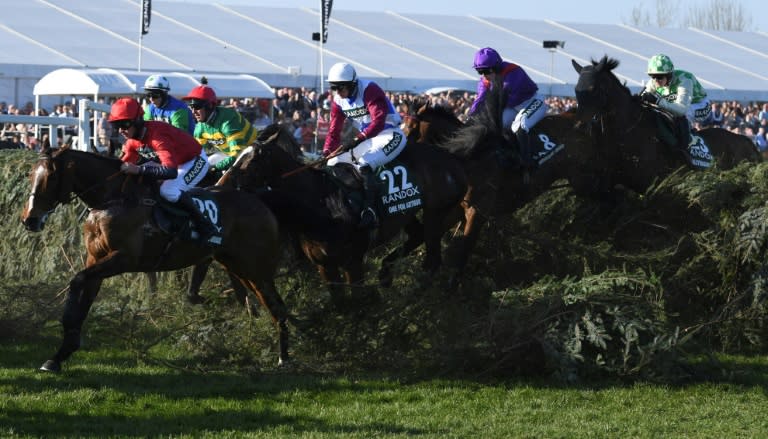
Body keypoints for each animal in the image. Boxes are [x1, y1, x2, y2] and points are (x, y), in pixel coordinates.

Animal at [18, 147, 324, 372]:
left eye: (50, 178)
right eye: (31, 174)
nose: (29, 219)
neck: (114, 199)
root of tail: (260, 200)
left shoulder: (124, 260)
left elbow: (77, 281)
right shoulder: (96, 260)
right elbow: (82, 292)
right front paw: (59, 354)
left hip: (256, 268)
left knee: (278, 308)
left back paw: (284, 358)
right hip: (237, 267)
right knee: (259, 303)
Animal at [218, 125, 468, 300]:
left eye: (253, 158)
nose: (222, 183)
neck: (320, 203)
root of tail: (451, 158)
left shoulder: (352, 262)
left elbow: (356, 299)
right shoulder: (324, 266)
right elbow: (340, 304)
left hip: (436, 212)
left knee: (433, 258)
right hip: (408, 215)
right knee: (416, 236)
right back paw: (386, 273)